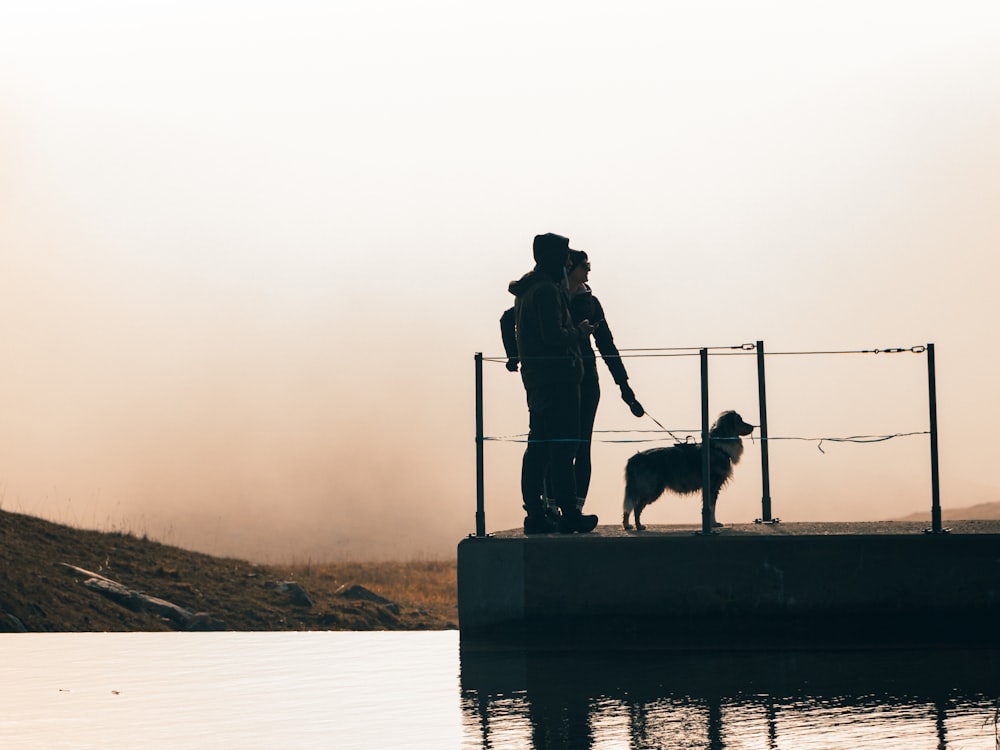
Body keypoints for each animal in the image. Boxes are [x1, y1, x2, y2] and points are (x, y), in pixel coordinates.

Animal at [620, 412, 752, 536]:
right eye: (740, 421)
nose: (753, 426)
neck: (718, 447)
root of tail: (634, 459)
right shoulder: (713, 485)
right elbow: (712, 507)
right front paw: (714, 523)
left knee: (629, 507)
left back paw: (627, 526)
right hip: (652, 488)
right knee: (636, 507)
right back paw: (639, 526)